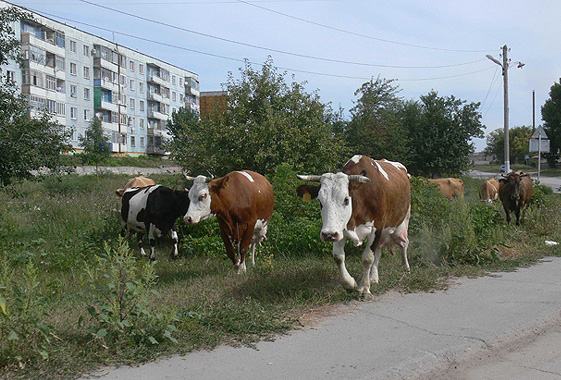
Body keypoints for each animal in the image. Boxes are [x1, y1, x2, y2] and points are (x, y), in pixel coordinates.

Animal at [296, 156, 410, 298]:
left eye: (346, 199)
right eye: (320, 201)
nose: (328, 234)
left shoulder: (377, 228)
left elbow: (368, 258)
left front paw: (364, 288)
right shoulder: (340, 230)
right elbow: (338, 257)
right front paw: (350, 283)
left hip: (403, 222)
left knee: (404, 243)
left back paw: (406, 266)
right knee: (378, 250)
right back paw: (374, 277)